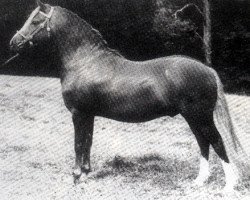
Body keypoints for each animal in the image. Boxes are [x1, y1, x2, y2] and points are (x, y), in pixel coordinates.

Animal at [9, 0, 246, 191]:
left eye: (36, 20)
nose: (13, 42)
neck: (85, 62)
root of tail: (207, 70)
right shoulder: (89, 114)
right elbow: (88, 142)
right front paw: (85, 173)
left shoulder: (78, 113)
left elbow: (78, 144)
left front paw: (76, 177)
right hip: (193, 118)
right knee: (203, 143)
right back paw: (199, 181)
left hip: (200, 117)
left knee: (216, 141)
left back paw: (229, 186)